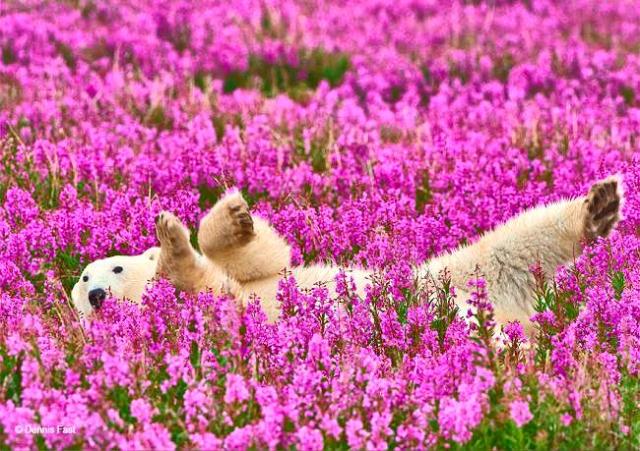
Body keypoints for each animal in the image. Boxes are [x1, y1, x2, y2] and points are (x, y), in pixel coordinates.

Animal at [71, 176, 623, 336]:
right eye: (83, 282)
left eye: (110, 267)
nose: (96, 295)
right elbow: (204, 284)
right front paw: (173, 245)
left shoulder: (254, 278)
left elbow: (265, 258)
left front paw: (226, 217)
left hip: (450, 276)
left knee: (511, 243)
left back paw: (600, 205)